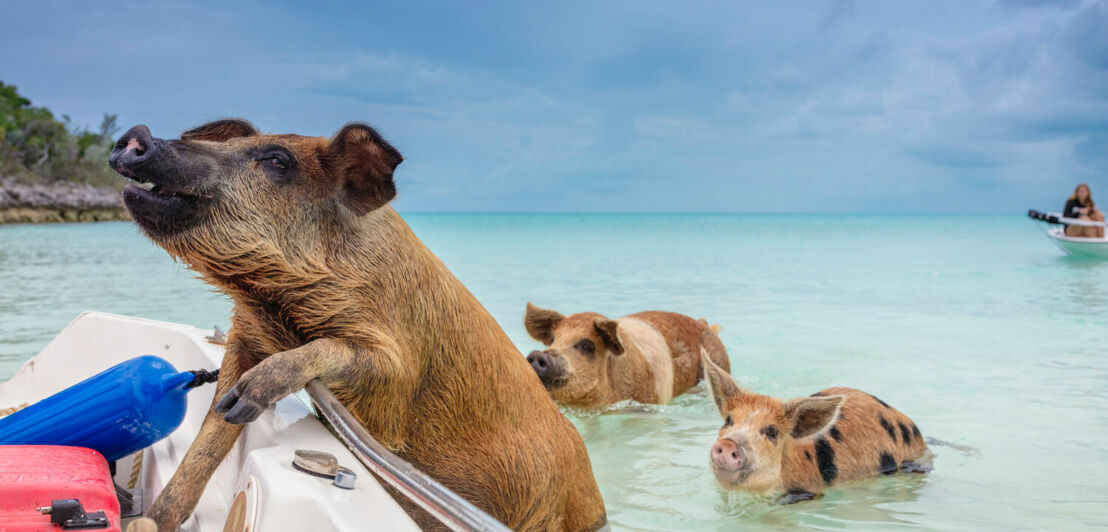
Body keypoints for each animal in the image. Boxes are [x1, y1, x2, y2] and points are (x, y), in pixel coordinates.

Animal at [108, 120, 607, 532]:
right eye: (229, 144)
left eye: (278, 161)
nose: (138, 133)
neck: (279, 305)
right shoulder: (247, 336)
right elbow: (211, 431)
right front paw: (155, 516)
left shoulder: (394, 376)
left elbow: (345, 357)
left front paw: (247, 399)